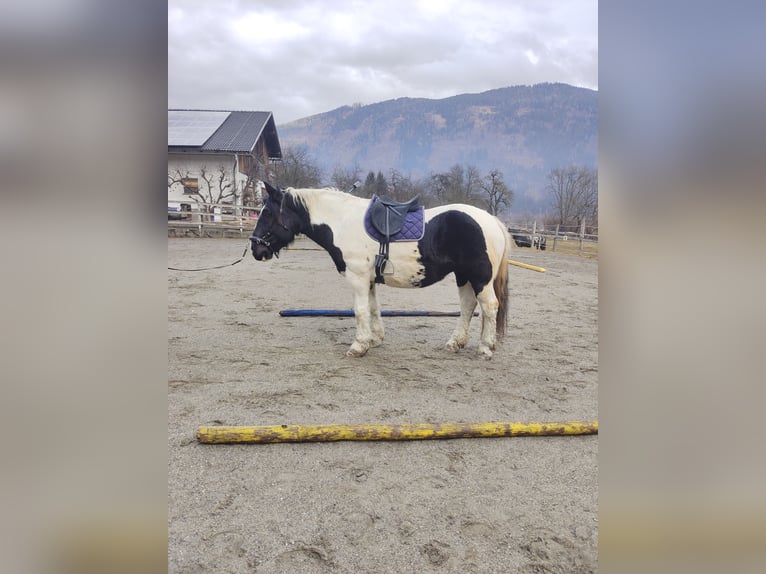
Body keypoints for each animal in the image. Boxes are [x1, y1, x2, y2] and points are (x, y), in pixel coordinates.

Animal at [250, 182, 510, 358]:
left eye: (268, 213)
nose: (255, 249)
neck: (342, 222)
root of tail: (492, 221)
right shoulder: (370, 279)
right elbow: (374, 308)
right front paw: (375, 339)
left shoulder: (357, 278)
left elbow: (360, 311)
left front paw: (358, 346)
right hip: (463, 276)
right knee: (468, 306)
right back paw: (455, 343)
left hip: (480, 278)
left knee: (489, 306)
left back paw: (485, 348)